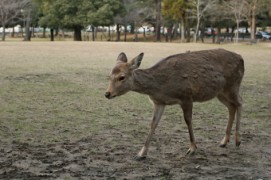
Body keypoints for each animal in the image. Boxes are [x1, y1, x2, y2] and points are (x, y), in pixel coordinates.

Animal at [105, 48, 245, 160]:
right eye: (109, 76)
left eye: (122, 77)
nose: (107, 93)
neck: (160, 86)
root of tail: (241, 58)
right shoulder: (159, 102)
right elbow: (153, 124)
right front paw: (141, 154)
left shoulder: (186, 96)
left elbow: (188, 120)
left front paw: (192, 149)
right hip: (220, 93)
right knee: (231, 107)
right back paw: (224, 141)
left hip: (233, 85)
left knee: (240, 102)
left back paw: (238, 140)